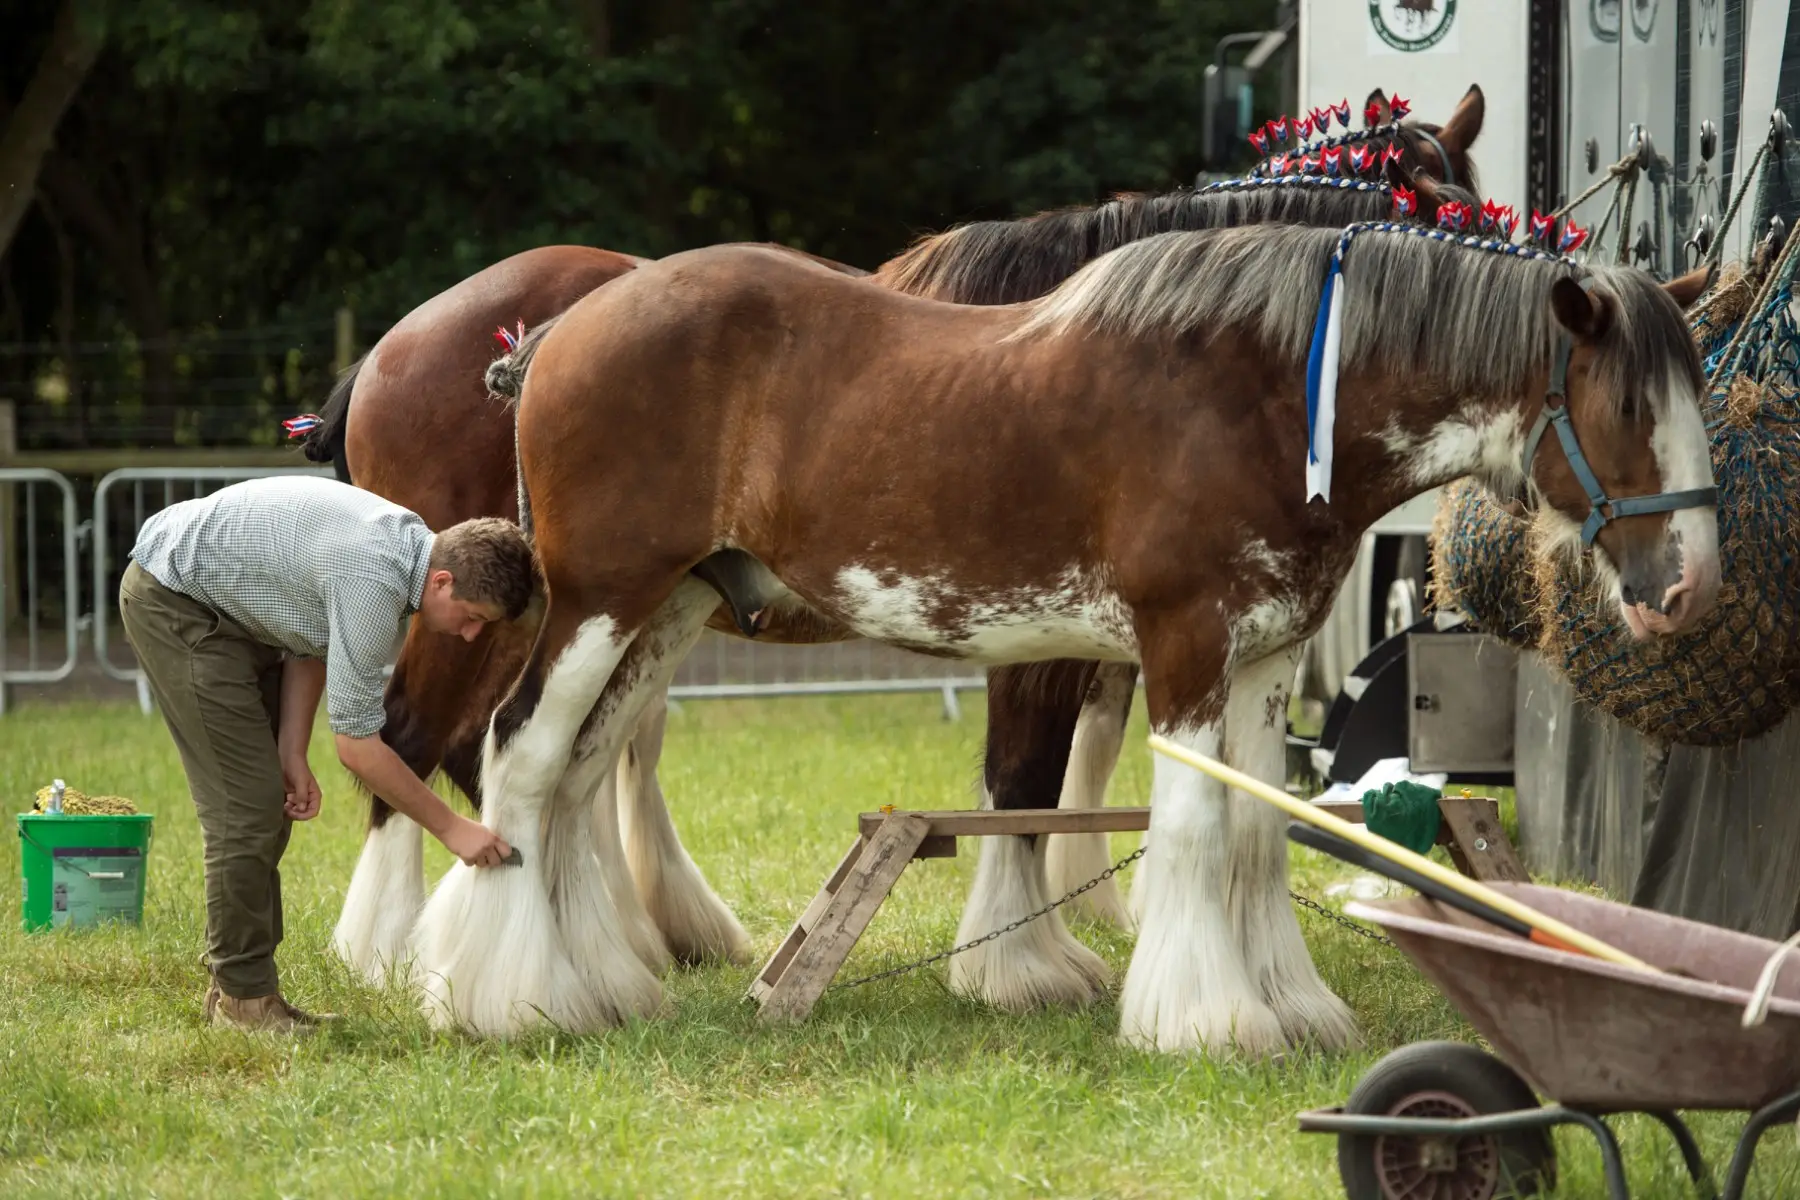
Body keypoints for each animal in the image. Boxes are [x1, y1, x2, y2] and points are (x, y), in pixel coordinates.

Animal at [316, 86, 1493, 1009]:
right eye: (1451, 217)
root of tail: (409, 347)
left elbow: (1077, 772)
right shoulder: (1054, 634)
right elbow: (1027, 778)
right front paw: (1025, 966)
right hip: (501, 605)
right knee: (425, 740)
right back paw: (392, 952)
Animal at [408, 216, 1721, 1054]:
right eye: (1623, 402)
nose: (1692, 587)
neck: (1261, 395)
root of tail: (556, 335)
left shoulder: (1262, 660)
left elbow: (1256, 836)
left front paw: (1290, 1008)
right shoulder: (1184, 645)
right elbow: (1189, 833)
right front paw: (1205, 1020)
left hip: (667, 612)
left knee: (573, 782)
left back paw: (594, 989)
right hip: (600, 602)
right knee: (521, 761)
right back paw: (501, 1000)